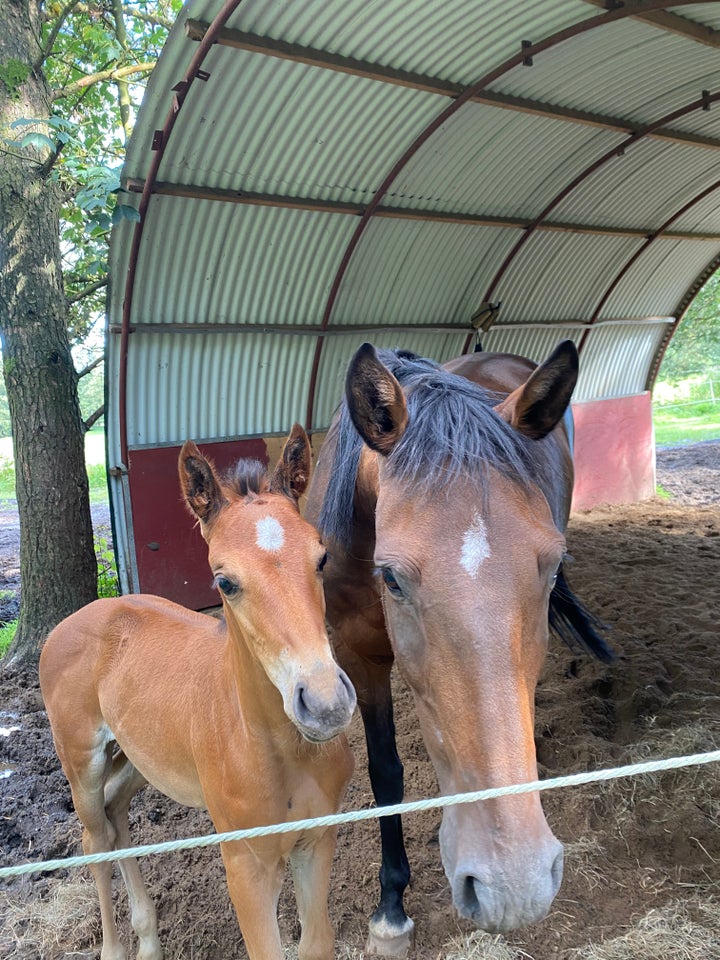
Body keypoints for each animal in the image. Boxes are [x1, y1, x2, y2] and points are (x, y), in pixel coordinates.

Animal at [304, 342, 612, 956]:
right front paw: (391, 909)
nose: (513, 886)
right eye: (392, 577)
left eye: (549, 567)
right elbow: (385, 772)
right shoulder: (358, 656)